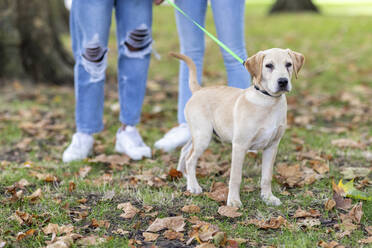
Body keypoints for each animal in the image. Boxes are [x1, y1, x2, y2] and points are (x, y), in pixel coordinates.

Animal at [173, 48, 304, 205]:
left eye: (288, 64)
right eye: (269, 66)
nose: (283, 81)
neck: (268, 101)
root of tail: (199, 90)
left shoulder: (272, 146)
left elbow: (267, 176)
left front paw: (268, 197)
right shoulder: (240, 146)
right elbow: (235, 177)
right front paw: (234, 201)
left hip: (199, 133)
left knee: (185, 150)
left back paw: (183, 174)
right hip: (203, 136)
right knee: (190, 159)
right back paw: (193, 186)